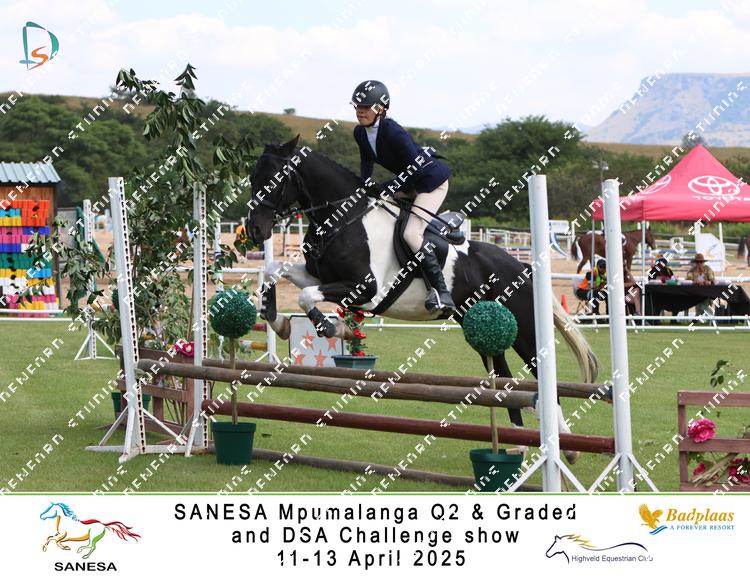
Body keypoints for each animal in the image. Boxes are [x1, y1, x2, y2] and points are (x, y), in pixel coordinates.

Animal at [245, 136, 600, 462]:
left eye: (275, 179)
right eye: (253, 177)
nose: (255, 230)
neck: (343, 219)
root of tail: (521, 266)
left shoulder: (365, 287)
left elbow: (307, 296)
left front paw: (332, 329)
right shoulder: (320, 277)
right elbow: (277, 271)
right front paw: (277, 320)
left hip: (524, 329)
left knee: (541, 375)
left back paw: (567, 449)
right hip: (484, 325)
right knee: (505, 375)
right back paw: (518, 442)